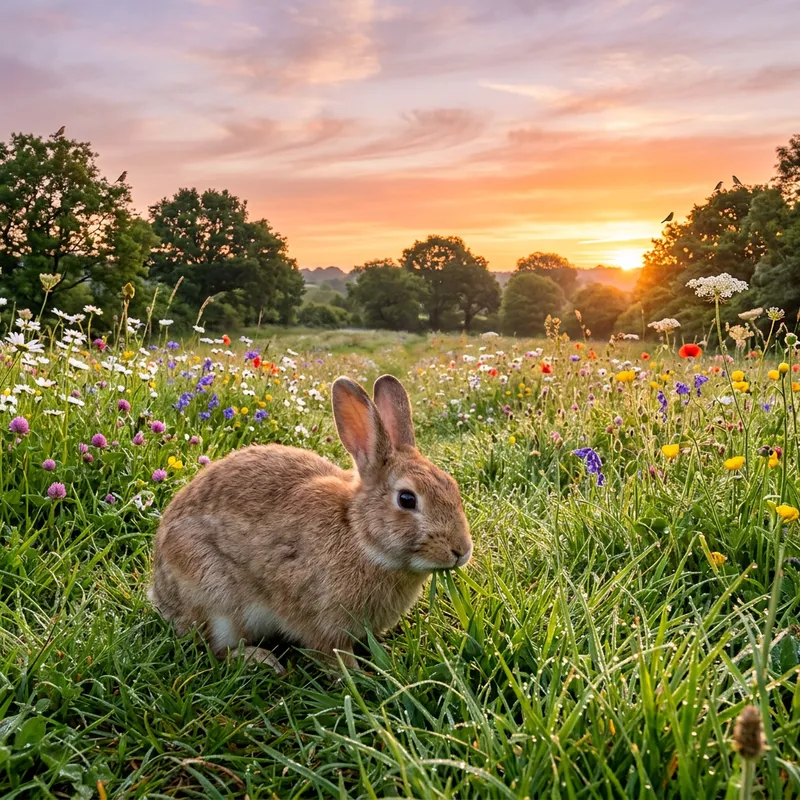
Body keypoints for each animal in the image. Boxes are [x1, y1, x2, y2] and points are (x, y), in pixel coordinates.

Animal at [148, 374, 472, 672]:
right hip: (216, 600)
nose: (461, 551)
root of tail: (161, 593)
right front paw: (356, 676)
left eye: (452, 486)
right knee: (215, 648)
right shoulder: (322, 621)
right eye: (407, 499)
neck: (358, 534)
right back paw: (261, 660)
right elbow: (333, 655)